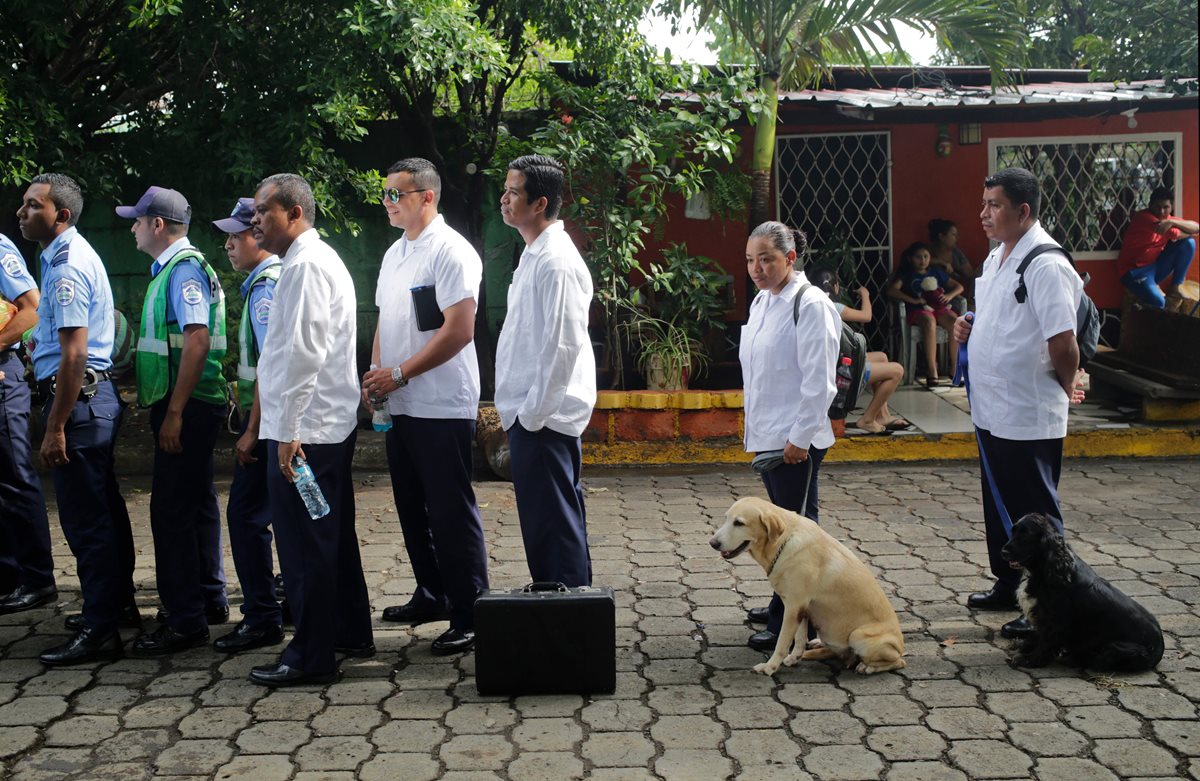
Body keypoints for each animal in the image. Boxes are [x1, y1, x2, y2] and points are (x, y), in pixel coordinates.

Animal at [710, 501, 902, 676]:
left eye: (739, 523)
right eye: (726, 518)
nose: (712, 543)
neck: (783, 543)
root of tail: (901, 645)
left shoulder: (793, 607)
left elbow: (782, 642)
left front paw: (770, 667)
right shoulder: (802, 608)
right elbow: (800, 638)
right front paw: (794, 657)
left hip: (858, 636)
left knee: (898, 662)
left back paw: (867, 667)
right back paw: (819, 643)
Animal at [1003, 513, 1161, 671]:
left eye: (1026, 535)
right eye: (1013, 531)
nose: (1003, 552)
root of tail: (1160, 649)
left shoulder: (1056, 618)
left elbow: (1046, 641)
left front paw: (1029, 660)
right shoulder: (1042, 614)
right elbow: (1038, 634)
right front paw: (1023, 646)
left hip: (1118, 648)